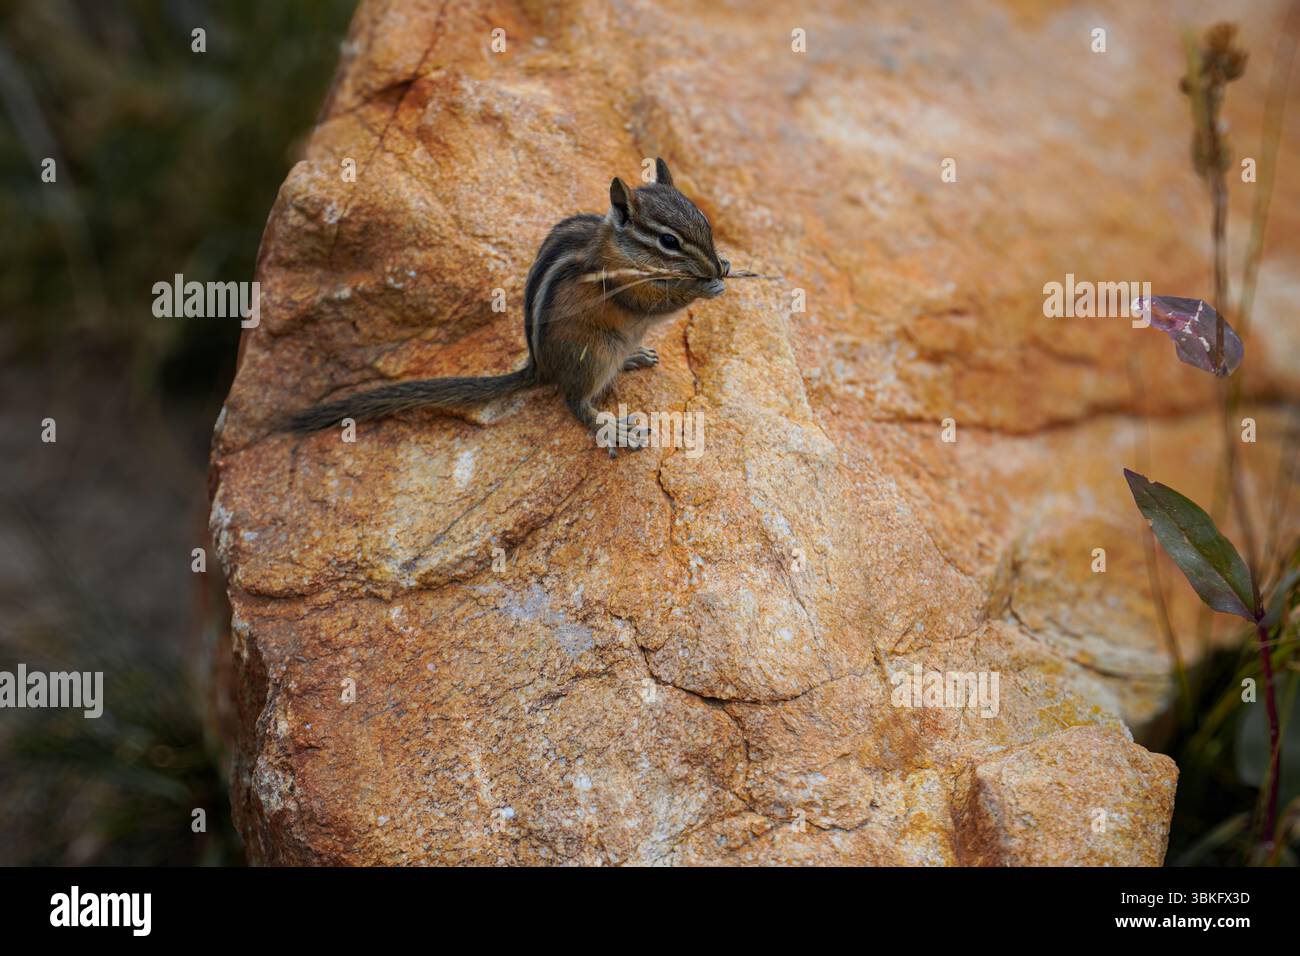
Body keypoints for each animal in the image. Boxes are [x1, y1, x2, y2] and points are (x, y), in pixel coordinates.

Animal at [286, 158, 728, 452]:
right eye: (669, 241)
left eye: (706, 222)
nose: (713, 266)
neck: (621, 249)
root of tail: (540, 367)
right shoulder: (619, 284)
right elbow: (654, 303)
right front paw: (705, 287)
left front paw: (723, 265)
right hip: (595, 354)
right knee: (575, 402)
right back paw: (612, 427)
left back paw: (635, 356)